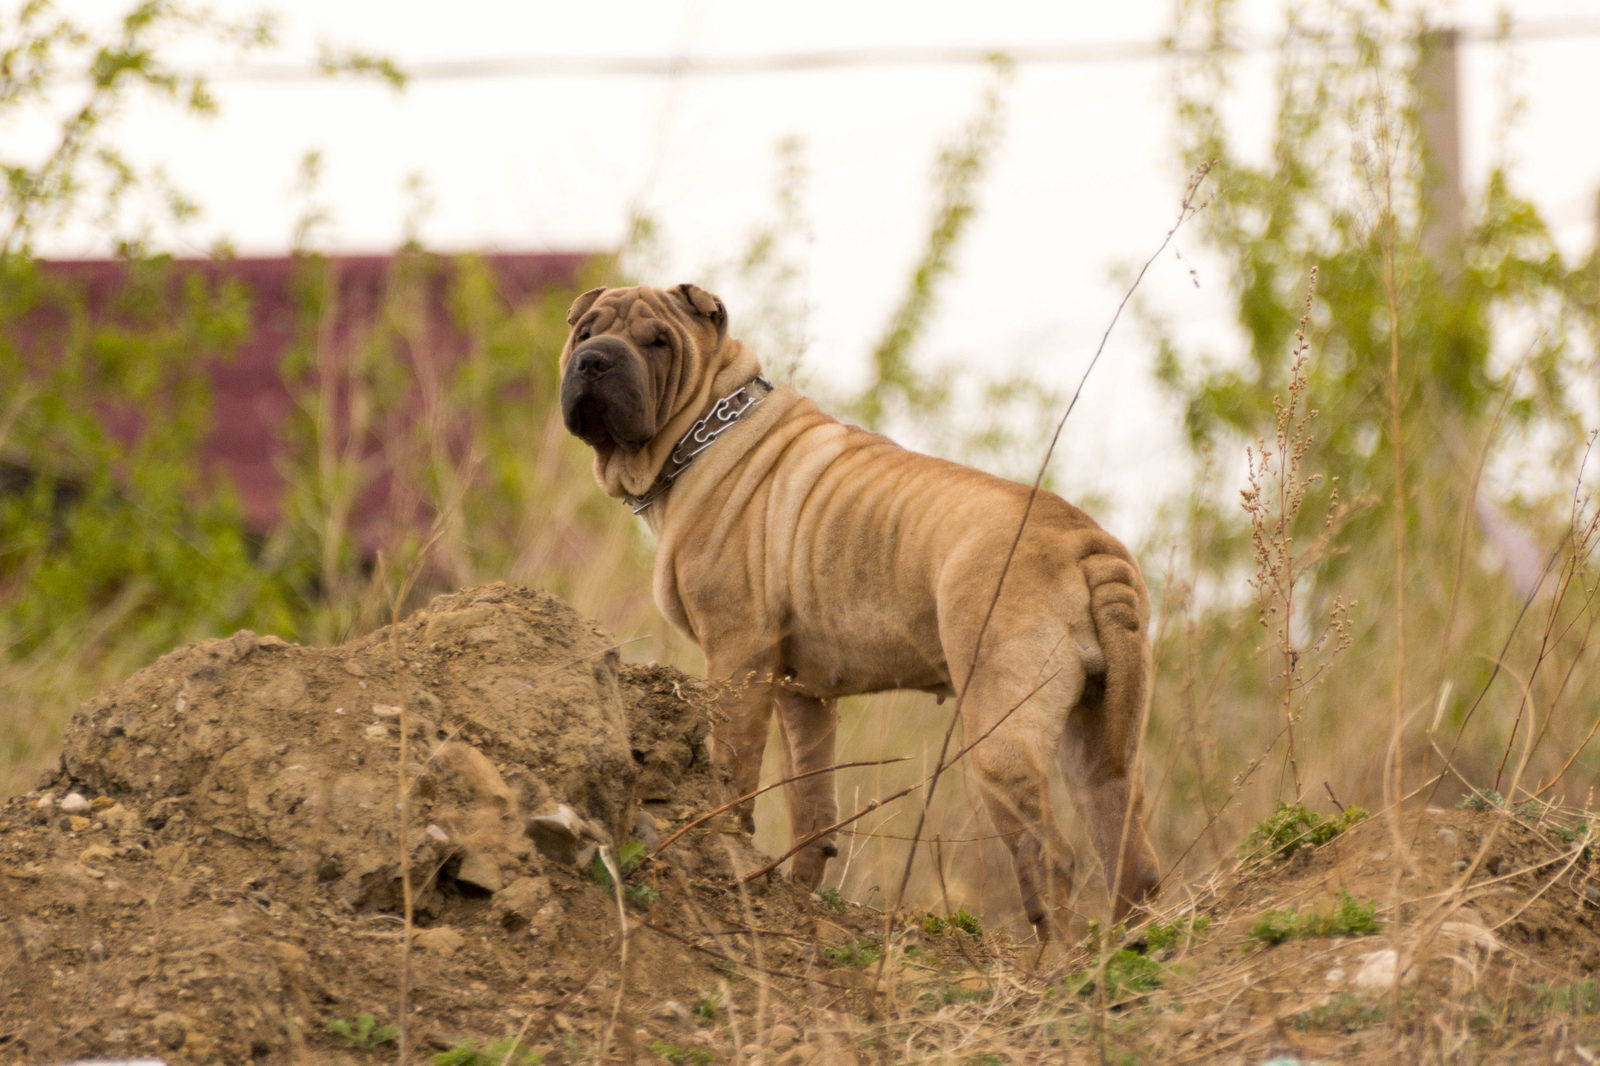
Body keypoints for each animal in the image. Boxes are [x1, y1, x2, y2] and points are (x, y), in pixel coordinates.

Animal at [556, 281, 1158, 941]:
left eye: (659, 342)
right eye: (585, 331)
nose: (595, 361)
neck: (703, 426)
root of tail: (1086, 543)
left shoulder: (737, 653)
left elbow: (733, 768)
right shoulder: (802, 692)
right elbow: (811, 803)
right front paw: (797, 893)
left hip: (1002, 732)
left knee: (1050, 856)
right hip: (1102, 743)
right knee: (1130, 858)